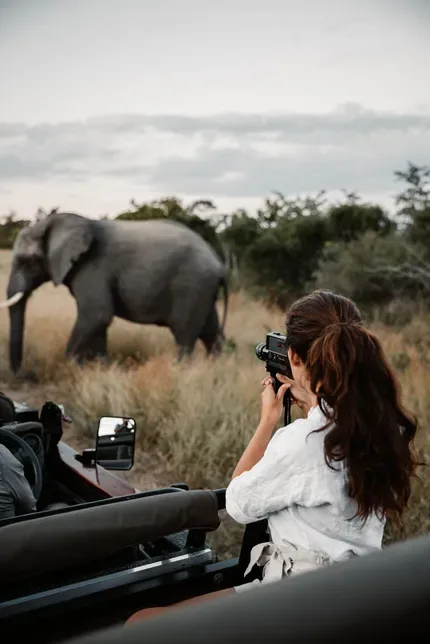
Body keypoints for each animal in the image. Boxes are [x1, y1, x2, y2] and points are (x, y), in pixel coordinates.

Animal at [0, 212, 229, 374]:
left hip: (191, 287)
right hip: (203, 290)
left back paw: (180, 372)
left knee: (184, 335)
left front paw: (72, 369)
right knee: (211, 332)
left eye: (26, 261)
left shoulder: (94, 267)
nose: (28, 373)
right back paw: (218, 371)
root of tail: (219, 265)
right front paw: (101, 370)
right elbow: (98, 323)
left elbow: (97, 315)